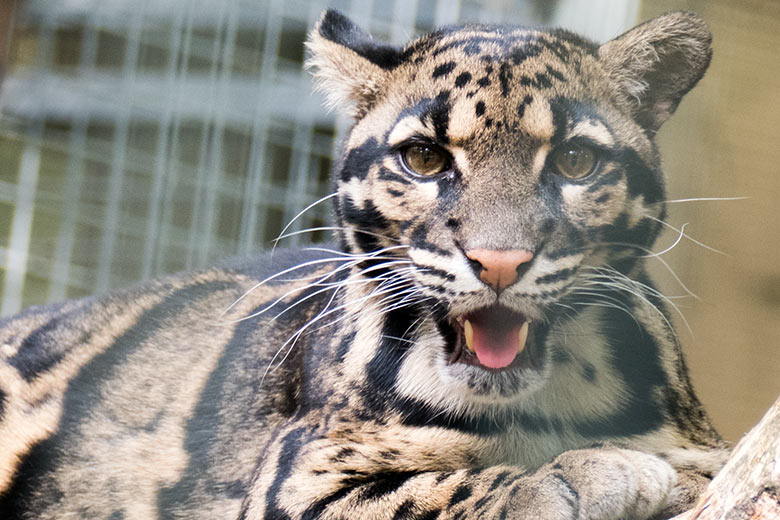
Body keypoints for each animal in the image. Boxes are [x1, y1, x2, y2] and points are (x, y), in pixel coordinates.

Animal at [0, 9, 732, 520]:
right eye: (425, 158)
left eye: (575, 162)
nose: (499, 262)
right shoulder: (299, 475)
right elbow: (434, 492)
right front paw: (579, 475)